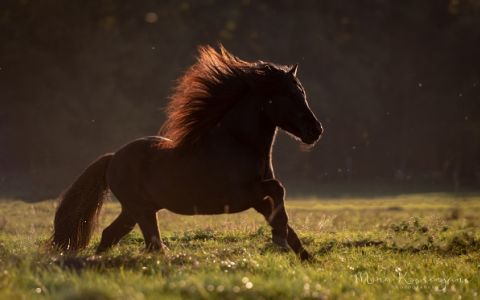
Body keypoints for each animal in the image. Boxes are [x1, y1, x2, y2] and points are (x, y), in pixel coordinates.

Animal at [51, 44, 322, 260]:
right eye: (289, 95)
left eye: (302, 92)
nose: (315, 130)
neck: (239, 144)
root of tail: (112, 158)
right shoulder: (242, 195)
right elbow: (278, 190)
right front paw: (279, 238)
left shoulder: (257, 200)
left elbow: (282, 216)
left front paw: (306, 258)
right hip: (140, 209)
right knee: (151, 244)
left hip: (137, 210)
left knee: (113, 235)